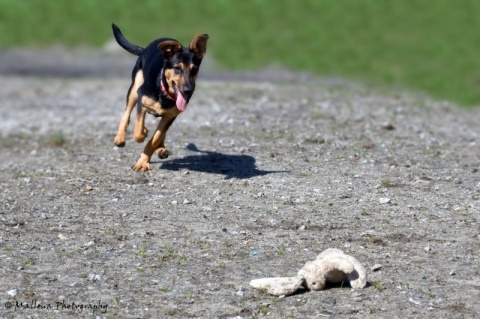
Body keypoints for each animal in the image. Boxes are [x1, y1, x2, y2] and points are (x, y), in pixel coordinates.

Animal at [112, 23, 210, 171]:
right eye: (177, 68)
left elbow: (156, 138)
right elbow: (138, 133)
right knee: (127, 113)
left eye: (194, 70)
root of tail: (145, 49)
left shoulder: (170, 116)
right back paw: (120, 138)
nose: (188, 90)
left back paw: (161, 148)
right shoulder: (141, 101)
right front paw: (143, 134)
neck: (164, 93)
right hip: (135, 89)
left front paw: (143, 160)